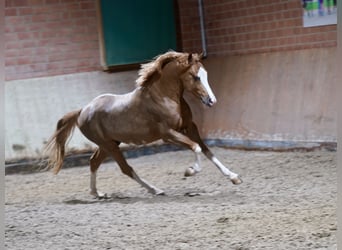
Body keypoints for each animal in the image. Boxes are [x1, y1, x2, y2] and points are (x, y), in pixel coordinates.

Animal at [45, 51, 242, 198]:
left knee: (94, 162)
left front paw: (234, 177)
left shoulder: (189, 127)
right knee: (125, 168)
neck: (164, 97)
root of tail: (82, 110)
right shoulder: (168, 134)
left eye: (205, 74)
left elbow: (207, 150)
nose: (212, 101)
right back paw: (155, 190)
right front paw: (190, 171)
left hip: (110, 144)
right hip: (109, 145)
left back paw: (97, 193)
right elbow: (196, 148)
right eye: (195, 77)